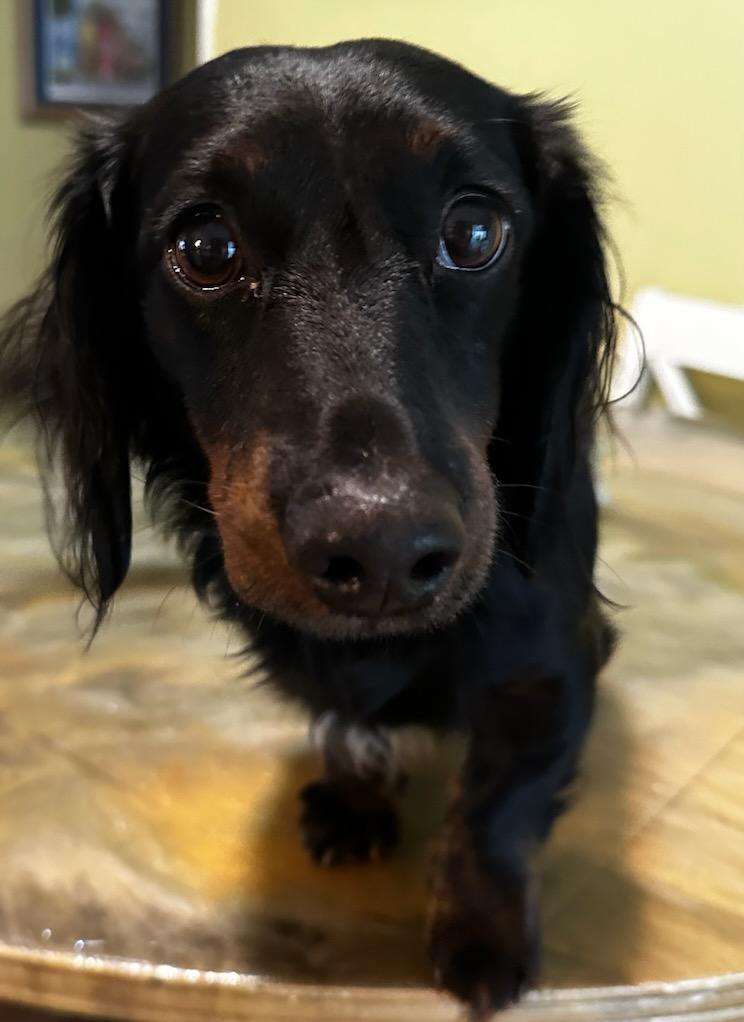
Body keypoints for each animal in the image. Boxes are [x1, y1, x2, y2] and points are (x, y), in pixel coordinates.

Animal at [0, 39, 618, 1016]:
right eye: (206, 247)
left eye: (476, 234)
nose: (383, 549)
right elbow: (345, 722)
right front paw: (356, 797)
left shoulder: (554, 665)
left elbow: (496, 804)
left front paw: (482, 929)